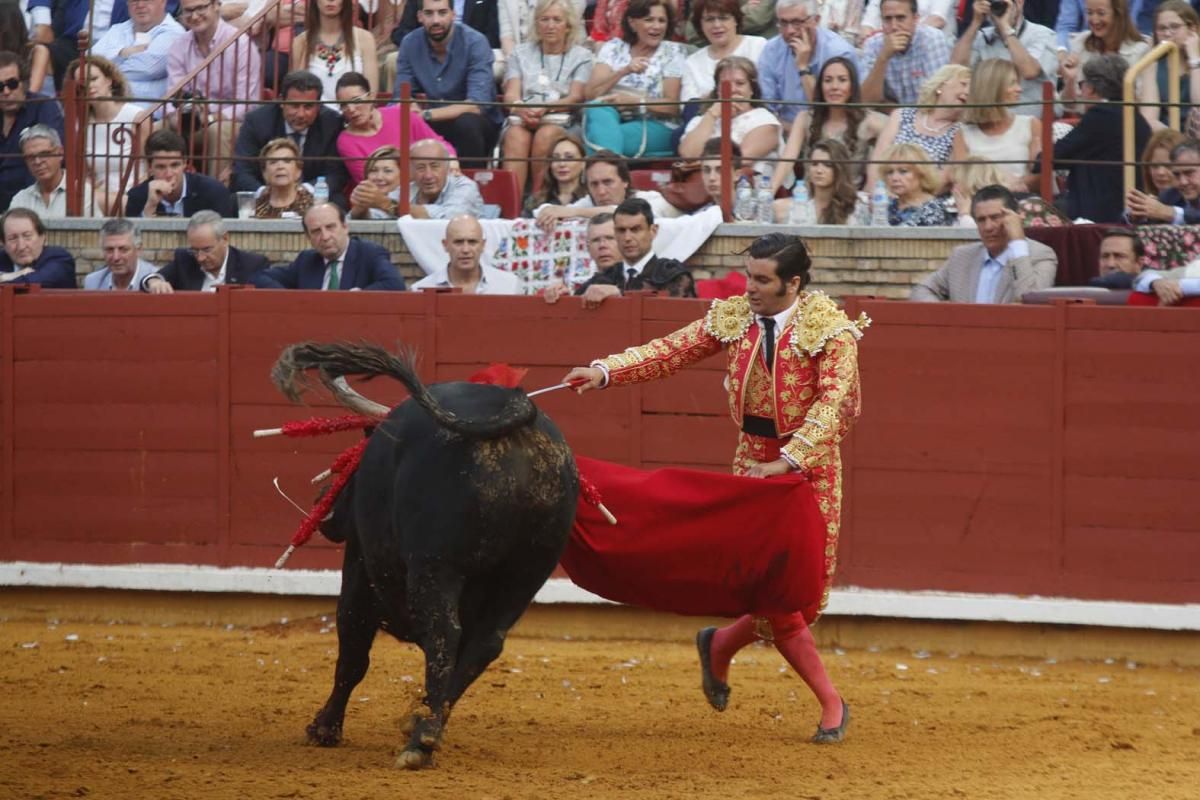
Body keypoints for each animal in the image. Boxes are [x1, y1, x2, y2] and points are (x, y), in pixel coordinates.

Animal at [270, 345, 578, 767]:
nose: (324, 510)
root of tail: (515, 412)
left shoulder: (360, 568)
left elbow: (352, 653)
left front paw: (324, 728)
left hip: (437, 568)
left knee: (444, 633)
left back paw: (420, 742)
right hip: (526, 576)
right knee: (484, 643)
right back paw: (424, 727)